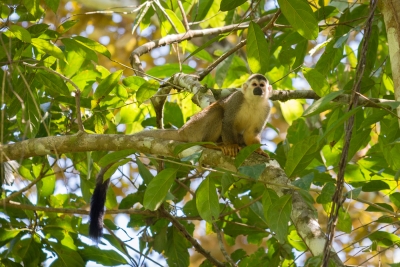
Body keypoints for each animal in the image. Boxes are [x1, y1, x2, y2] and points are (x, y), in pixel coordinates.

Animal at [89, 74, 274, 243]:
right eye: (254, 85)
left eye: (262, 86)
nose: (258, 90)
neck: (253, 102)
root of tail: (182, 131)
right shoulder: (237, 99)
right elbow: (227, 121)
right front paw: (230, 146)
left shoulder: (266, 108)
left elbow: (252, 133)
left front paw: (259, 150)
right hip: (195, 128)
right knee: (218, 110)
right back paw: (212, 145)